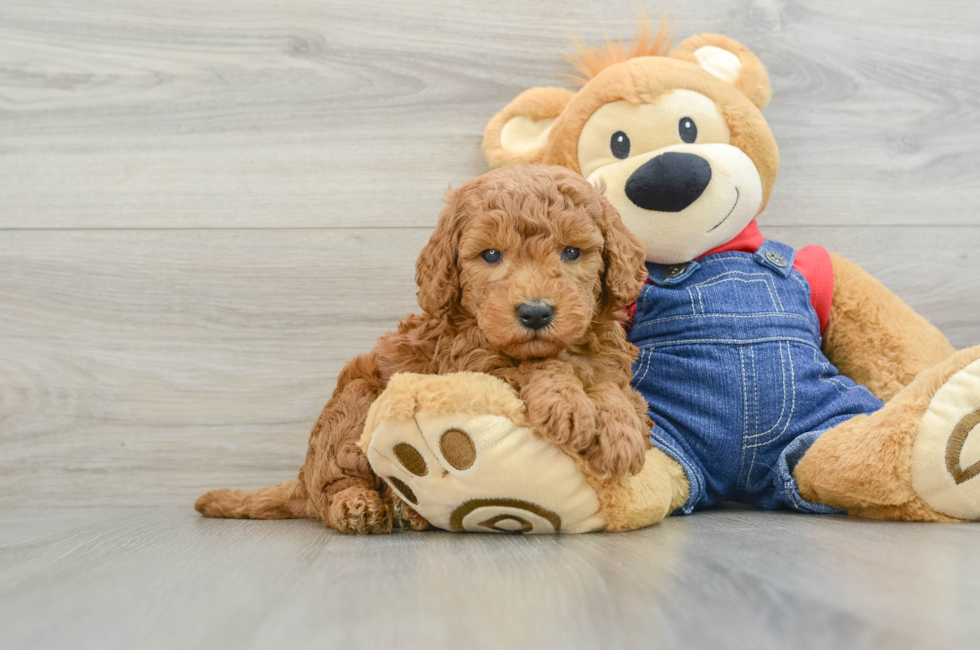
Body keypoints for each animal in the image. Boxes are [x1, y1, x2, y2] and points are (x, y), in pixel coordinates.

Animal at [195, 165, 656, 536]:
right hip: (354, 406)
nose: (535, 312)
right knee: (334, 484)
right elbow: (534, 368)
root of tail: (301, 480)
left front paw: (621, 431)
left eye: (572, 252)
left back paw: (407, 511)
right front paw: (569, 405)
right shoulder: (473, 364)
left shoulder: (609, 362)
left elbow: (613, 389)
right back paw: (360, 506)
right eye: (491, 255)